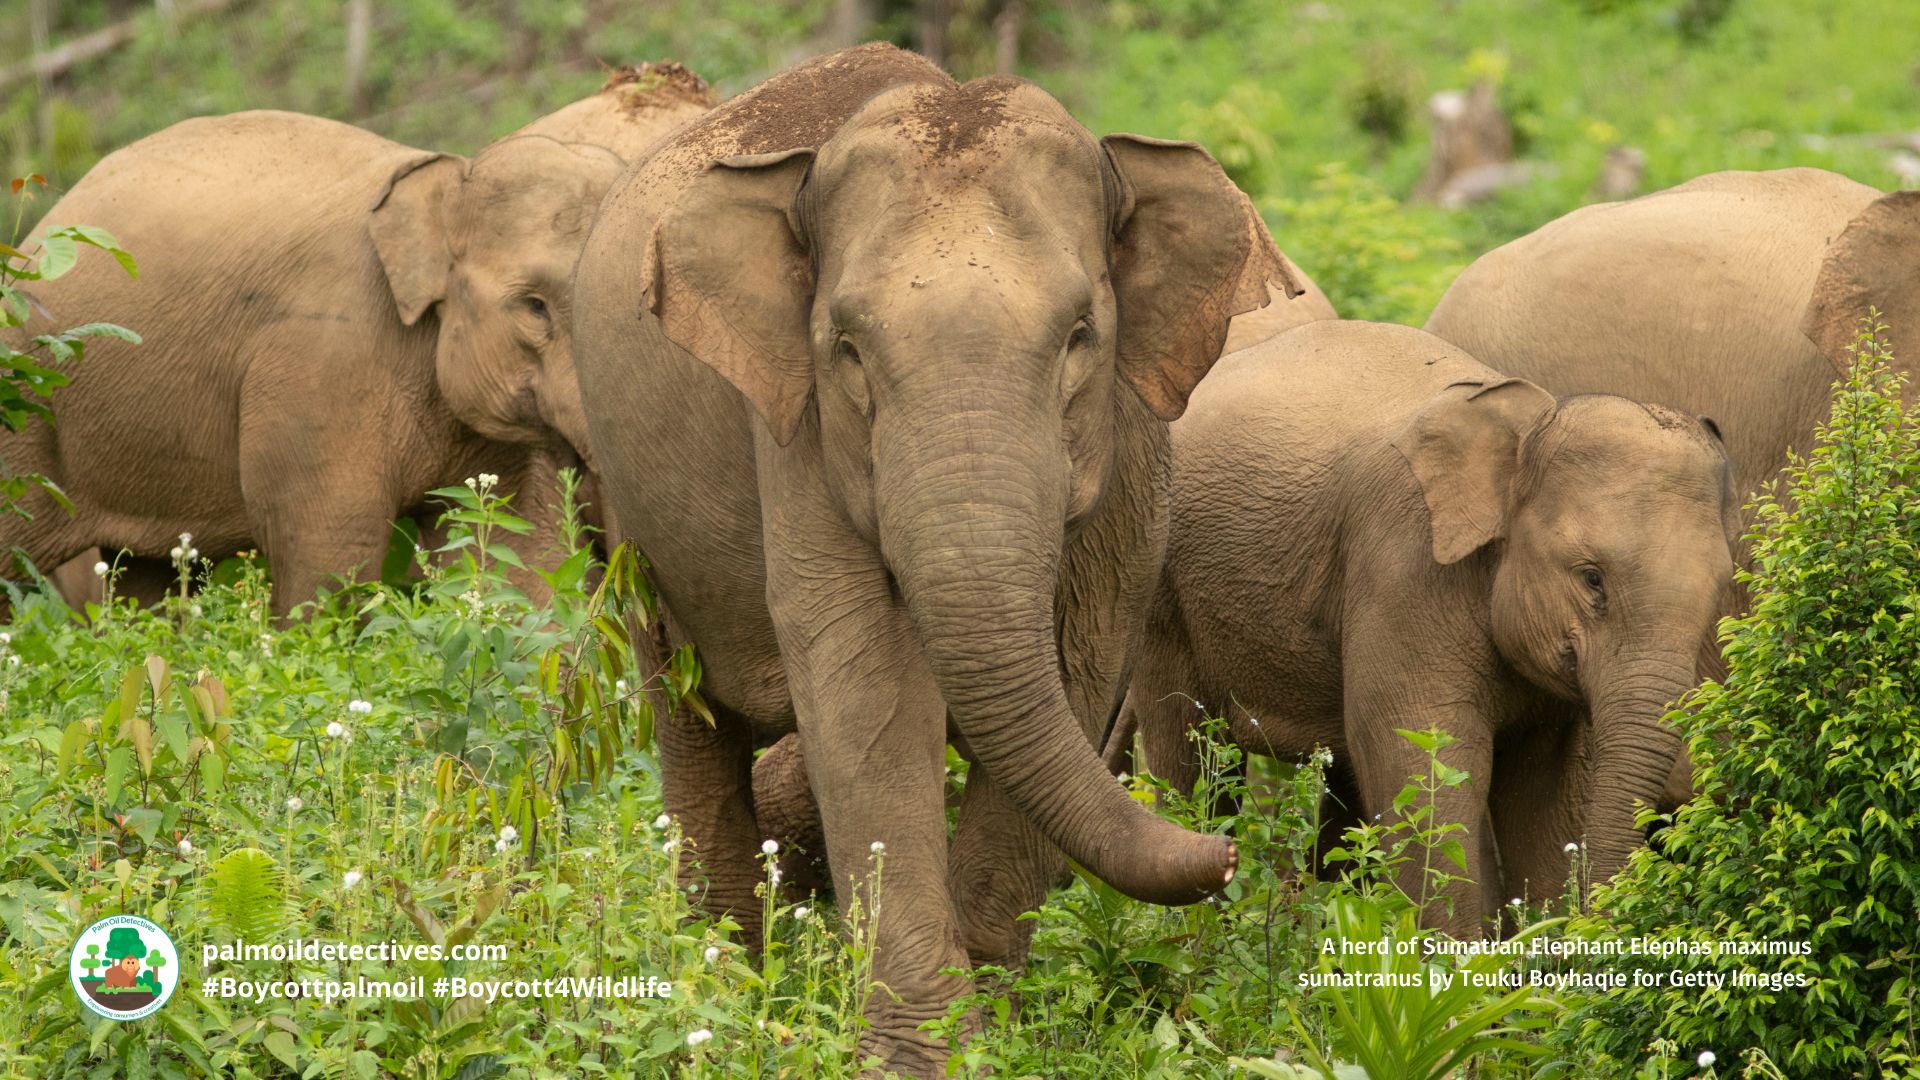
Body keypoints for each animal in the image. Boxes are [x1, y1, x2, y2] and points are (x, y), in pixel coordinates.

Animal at [571, 43, 1300, 1075]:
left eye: (1081, 335)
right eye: (846, 349)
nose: (1226, 859)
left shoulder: (1132, 443)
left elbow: (1080, 661)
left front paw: (995, 1029)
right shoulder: (798, 438)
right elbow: (867, 681)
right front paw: (924, 1055)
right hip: (623, 509)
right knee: (690, 718)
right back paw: (726, 993)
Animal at [1106, 321, 1738, 936]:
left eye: (1720, 589)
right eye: (1592, 579)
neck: (1530, 421)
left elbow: (1546, 791)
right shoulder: (1405, 567)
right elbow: (1422, 760)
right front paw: (1452, 965)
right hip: (1163, 590)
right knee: (1194, 757)